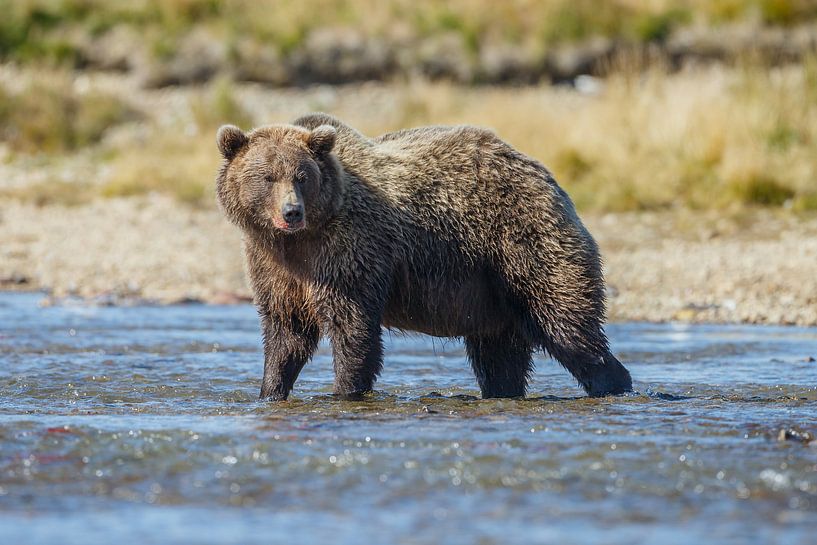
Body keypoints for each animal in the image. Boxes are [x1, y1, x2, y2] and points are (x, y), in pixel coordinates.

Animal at [212, 112, 632, 400]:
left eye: (302, 176)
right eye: (266, 176)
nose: (291, 212)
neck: (299, 241)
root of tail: (546, 175)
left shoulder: (347, 251)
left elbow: (352, 329)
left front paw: (345, 390)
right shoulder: (275, 265)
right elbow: (287, 334)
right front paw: (270, 391)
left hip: (522, 242)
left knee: (566, 324)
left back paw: (614, 384)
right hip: (490, 292)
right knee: (499, 355)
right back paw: (504, 391)